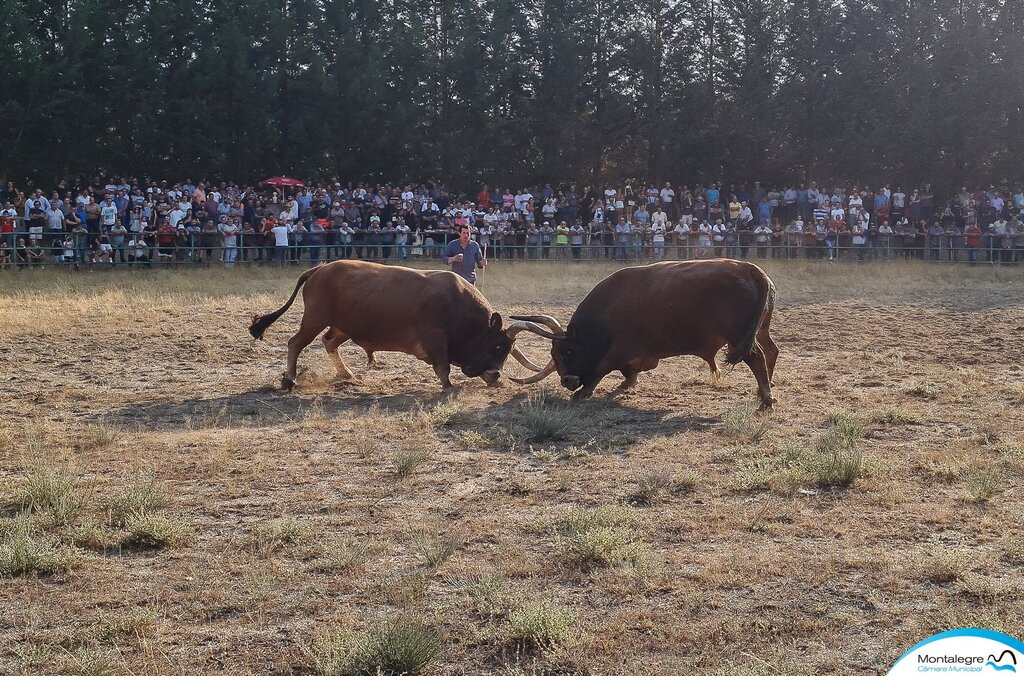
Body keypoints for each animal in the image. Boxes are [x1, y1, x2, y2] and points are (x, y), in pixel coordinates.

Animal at [248, 261, 548, 393]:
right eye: (497, 347)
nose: (496, 376)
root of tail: (319, 269)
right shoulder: (436, 338)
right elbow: (443, 367)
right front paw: (448, 386)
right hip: (314, 318)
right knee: (296, 343)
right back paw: (289, 379)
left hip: (344, 326)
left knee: (329, 342)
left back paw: (347, 374)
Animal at [507, 257, 778, 407]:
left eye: (568, 352)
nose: (567, 381)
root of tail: (752, 270)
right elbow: (628, 371)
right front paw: (627, 383)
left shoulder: (620, 347)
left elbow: (602, 368)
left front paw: (584, 392)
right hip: (759, 330)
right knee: (771, 351)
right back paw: (764, 389)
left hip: (739, 336)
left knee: (756, 357)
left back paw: (766, 398)